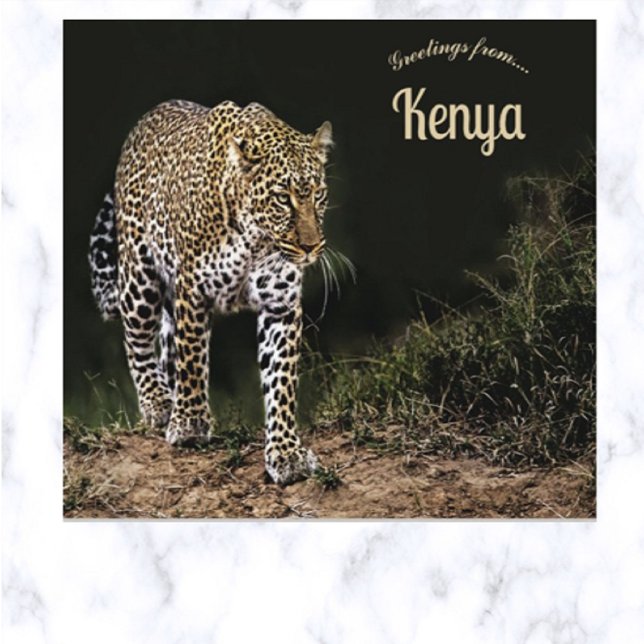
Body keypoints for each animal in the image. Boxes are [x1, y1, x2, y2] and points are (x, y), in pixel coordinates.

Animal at [88, 99, 335, 485]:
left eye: (319, 195)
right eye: (283, 199)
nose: (311, 247)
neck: (256, 240)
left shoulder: (280, 303)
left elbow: (281, 381)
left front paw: (285, 452)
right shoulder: (193, 288)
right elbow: (193, 359)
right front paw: (190, 425)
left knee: (166, 350)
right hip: (139, 276)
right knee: (136, 339)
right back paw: (159, 402)